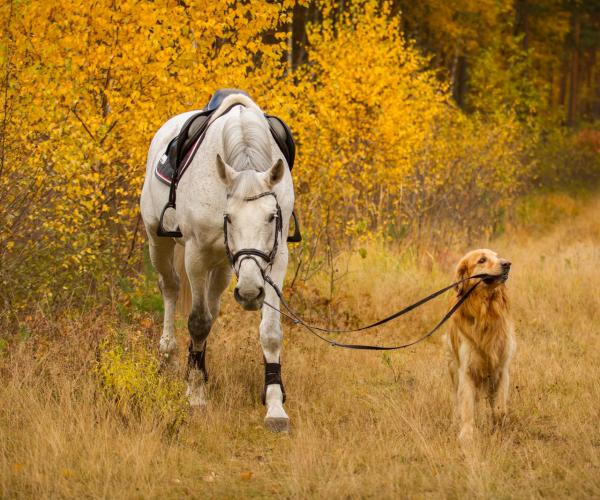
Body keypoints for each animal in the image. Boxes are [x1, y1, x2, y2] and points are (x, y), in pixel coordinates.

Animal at [139, 94, 292, 430]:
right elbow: (197, 322)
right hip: (158, 241)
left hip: (222, 266)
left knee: (212, 305)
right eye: (228, 217)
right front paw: (195, 397)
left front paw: (275, 406)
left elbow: (270, 332)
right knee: (171, 288)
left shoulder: (276, 257)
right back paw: (168, 357)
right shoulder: (196, 254)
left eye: (271, 217)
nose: (249, 293)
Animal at [446, 249, 516, 442]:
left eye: (497, 256)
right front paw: (467, 434)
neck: (486, 310)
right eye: (482, 260)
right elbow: (467, 406)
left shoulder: (502, 368)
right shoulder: (467, 370)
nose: (507, 263)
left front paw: (499, 428)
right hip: (453, 366)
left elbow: (499, 408)